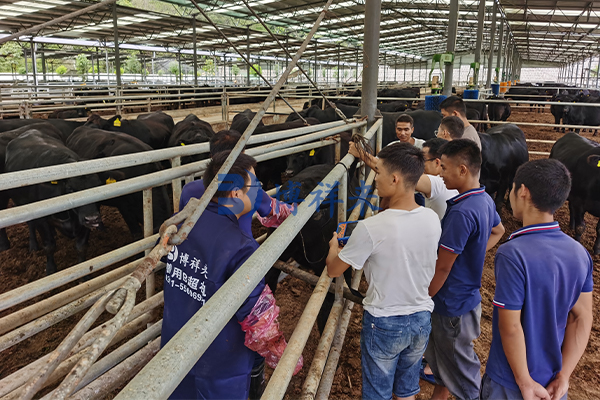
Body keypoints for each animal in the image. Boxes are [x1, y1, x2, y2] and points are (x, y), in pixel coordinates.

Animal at [5, 131, 103, 276]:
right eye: (70, 189)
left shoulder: (84, 221)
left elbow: (81, 247)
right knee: (30, 224)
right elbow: (49, 246)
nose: (92, 218)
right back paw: (33, 245)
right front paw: (51, 270)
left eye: (98, 185)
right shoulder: (41, 219)